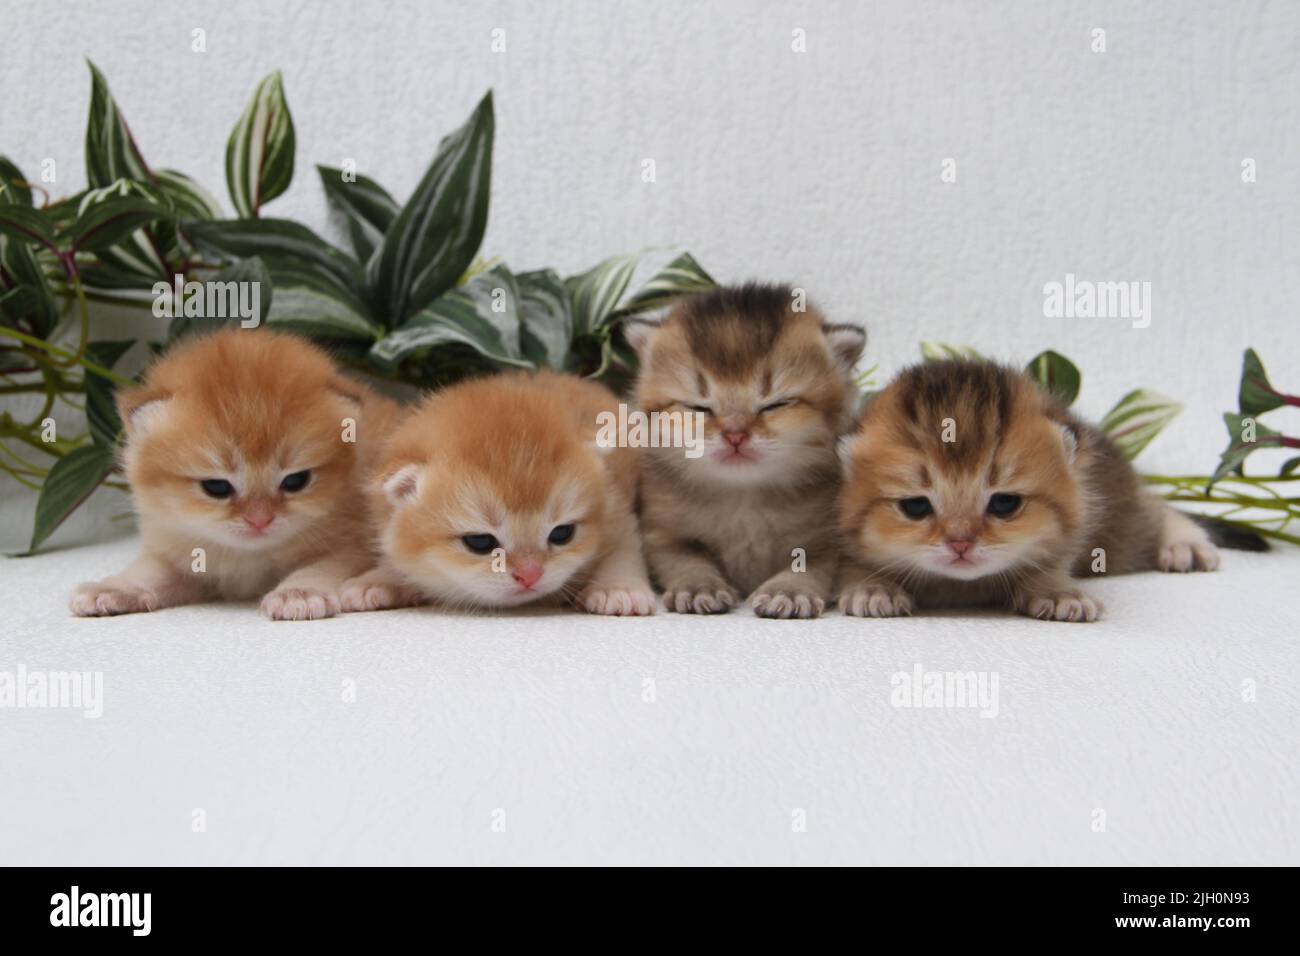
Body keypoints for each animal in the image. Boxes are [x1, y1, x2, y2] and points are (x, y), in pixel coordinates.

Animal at [65, 329, 397, 621]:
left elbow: (319, 568)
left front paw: (298, 593)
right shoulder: (180, 554)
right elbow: (149, 572)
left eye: (295, 481)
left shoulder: (350, 547)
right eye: (216, 487)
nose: (259, 520)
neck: (247, 556)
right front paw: (114, 588)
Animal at [340, 369, 655, 616]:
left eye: (562, 534)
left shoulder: (618, 512)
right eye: (480, 542)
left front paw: (619, 588)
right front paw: (376, 580)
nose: (530, 576)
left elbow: (624, 551)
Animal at [626, 282, 868, 621]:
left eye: (777, 404)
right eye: (697, 407)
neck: (744, 496)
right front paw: (700, 586)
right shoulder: (663, 533)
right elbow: (685, 560)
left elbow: (809, 565)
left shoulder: (828, 539)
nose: (735, 434)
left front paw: (787, 591)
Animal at [837, 358, 1263, 621]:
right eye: (915, 507)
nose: (960, 544)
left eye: (1005, 503)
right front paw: (873, 587)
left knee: (1155, 510)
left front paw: (1058, 593)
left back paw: (1184, 545)